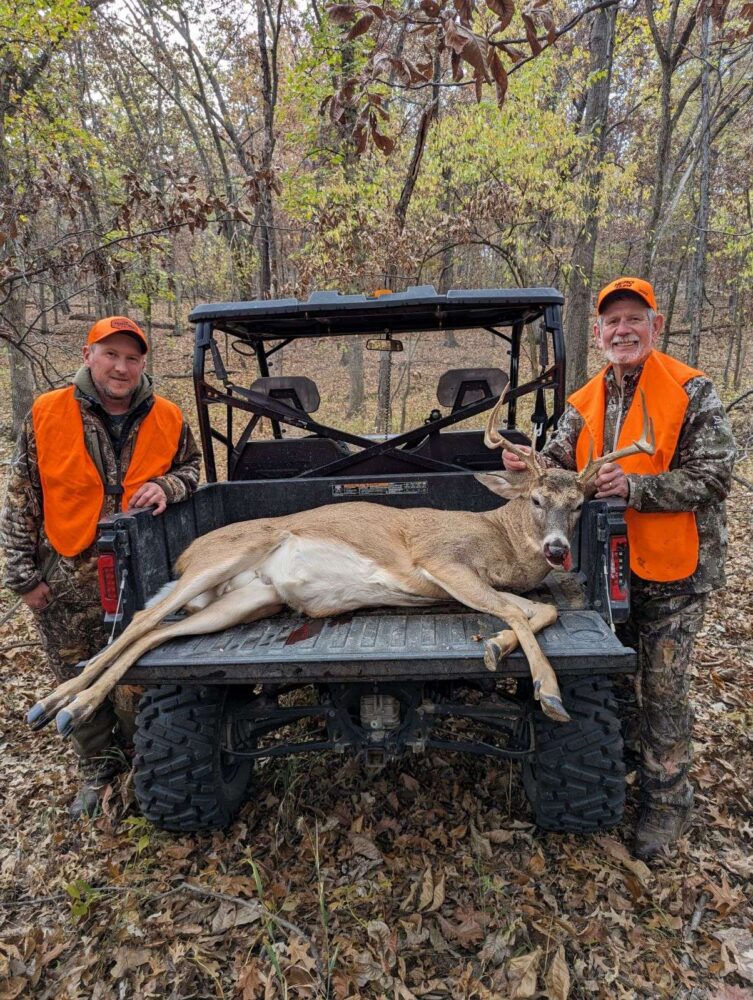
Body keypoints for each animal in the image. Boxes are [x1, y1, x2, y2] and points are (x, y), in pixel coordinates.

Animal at [26, 390, 656, 744]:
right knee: (139, 620)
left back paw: (61, 706)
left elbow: (541, 609)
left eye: (580, 505)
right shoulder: (441, 560)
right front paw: (547, 690)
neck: (498, 540)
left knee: (159, 633)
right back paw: (63, 703)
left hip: (247, 600)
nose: (557, 550)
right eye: (535, 499)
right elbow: (521, 611)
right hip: (222, 560)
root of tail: (183, 551)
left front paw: (497, 647)